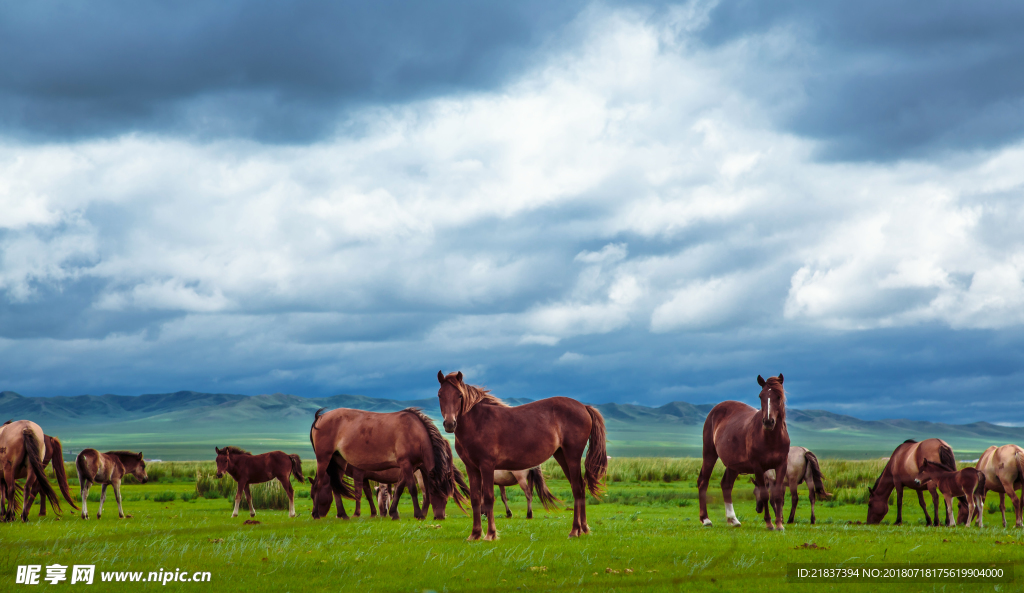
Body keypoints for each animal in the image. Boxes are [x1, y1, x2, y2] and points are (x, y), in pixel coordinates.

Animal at [307, 405, 460, 522]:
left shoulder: (410, 467)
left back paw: (343, 515)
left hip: (339, 461)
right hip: (324, 459)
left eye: (447, 498)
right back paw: (316, 515)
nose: (440, 517)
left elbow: (399, 489)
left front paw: (393, 513)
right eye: (435, 493)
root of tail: (320, 418)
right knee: (319, 483)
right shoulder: (405, 464)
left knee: (335, 486)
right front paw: (418, 514)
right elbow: (411, 489)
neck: (415, 432)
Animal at [434, 372, 606, 540]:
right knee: (580, 487)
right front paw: (475, 534)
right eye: (440, 395)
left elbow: (489, 498)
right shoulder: (472, 468)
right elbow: (476, 498)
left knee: (577, 489)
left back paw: (575, 530)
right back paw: (583, 529)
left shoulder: (487, 466)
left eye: (459, 395)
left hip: (572, 456)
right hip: (561, 456)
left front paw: (491, 534)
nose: (449, 424)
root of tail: (583, 407)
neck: (478, 422)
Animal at [696, 372, 790, 532]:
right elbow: (764, 494)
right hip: (709, 454)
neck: (771, 438)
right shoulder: (758, 467)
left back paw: (733, 519)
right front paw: (769, 523)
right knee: (704, 482)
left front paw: (779, 524)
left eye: (778, 396)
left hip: (734, 465)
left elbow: (778, 496)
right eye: (761, 396)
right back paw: (706, 520)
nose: (768, 422)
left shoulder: (781, 465)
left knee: (726, 485)